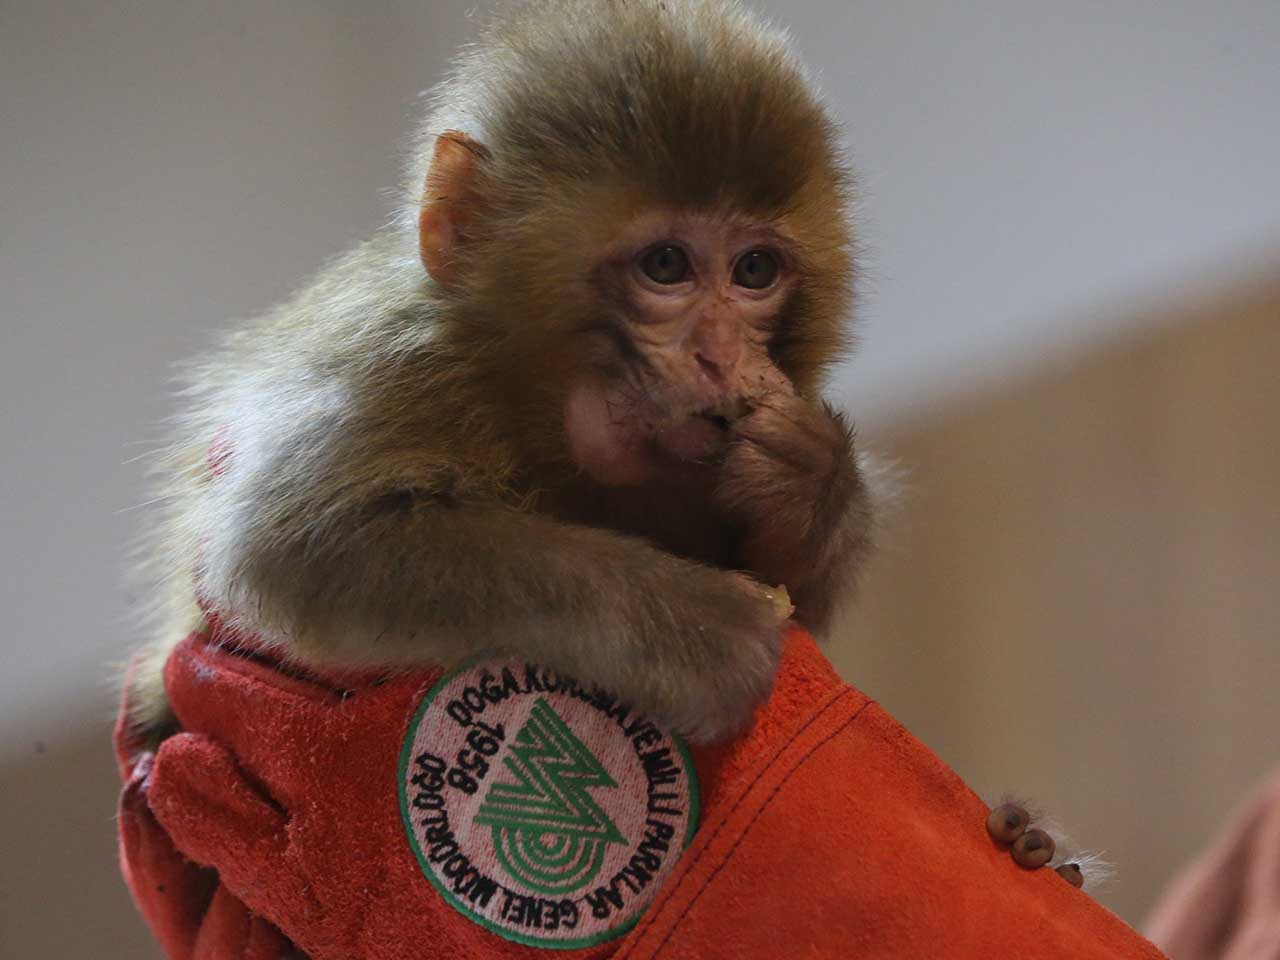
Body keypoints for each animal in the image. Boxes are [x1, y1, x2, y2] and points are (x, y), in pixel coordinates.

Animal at [135, 0, 1080, 885]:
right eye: (665, 266)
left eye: (754, 271)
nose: (721, 354)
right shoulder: (393, 361)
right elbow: (298, 548)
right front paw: (694, 630)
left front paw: (806, 480)